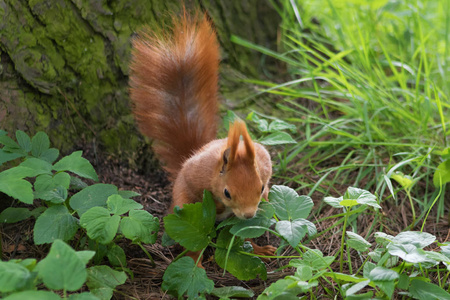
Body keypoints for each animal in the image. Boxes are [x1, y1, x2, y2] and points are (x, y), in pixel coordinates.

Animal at [129, 9, 274, 262]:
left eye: (261, 188)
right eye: (227, 193)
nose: (248, 215)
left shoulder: (265, 163)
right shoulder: (195, 177)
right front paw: (218, 209)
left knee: (239, 236)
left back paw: (259, 250)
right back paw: (195, 260)